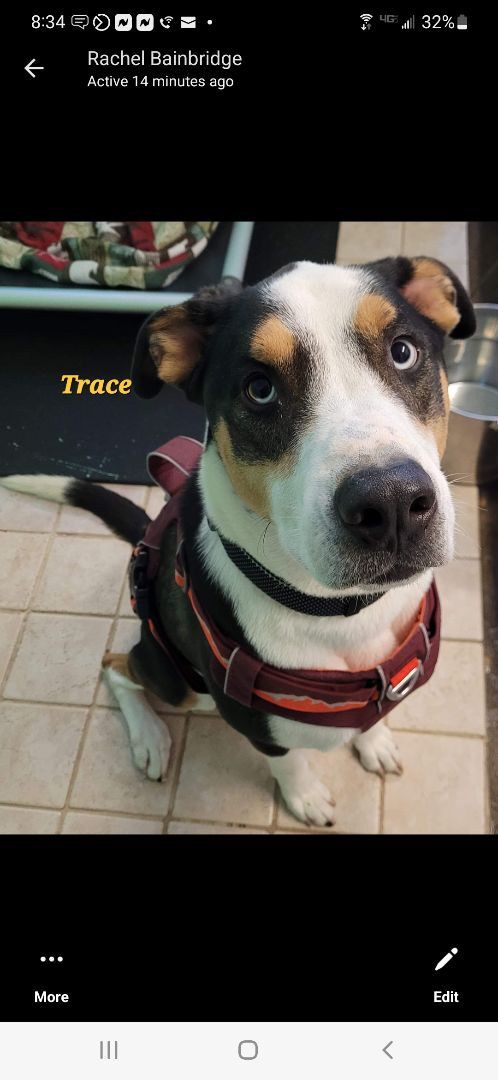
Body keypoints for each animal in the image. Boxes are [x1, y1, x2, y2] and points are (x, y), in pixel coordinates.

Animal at [0, 254, 473, 825]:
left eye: (403, 351)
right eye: (259, 388)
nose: (393, 504)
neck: (344, 612)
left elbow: (375, 713)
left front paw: (375, 741)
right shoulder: (254, 722)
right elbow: (289, 761)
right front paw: (305, 797)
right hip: (177, 679)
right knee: (116, 666)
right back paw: (150, 738)